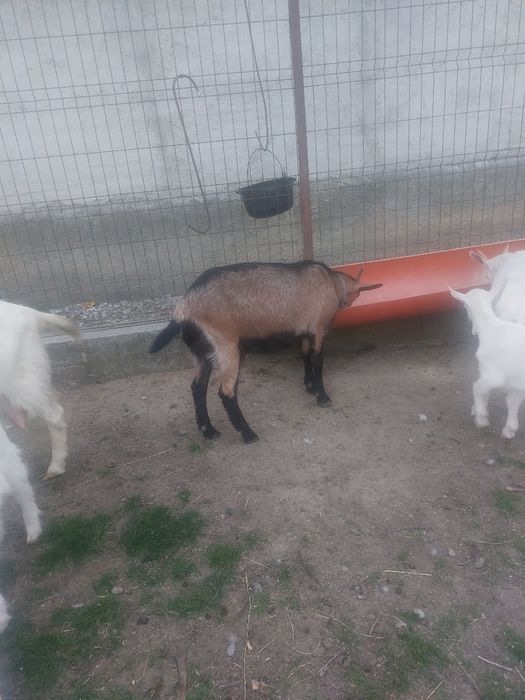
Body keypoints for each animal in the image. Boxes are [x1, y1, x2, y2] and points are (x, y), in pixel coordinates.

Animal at [150, 261, 382, 443]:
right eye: (358, 293)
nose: (347, 304)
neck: (331, 282)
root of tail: (183, 309)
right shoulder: (317, 328)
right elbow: (317, 361)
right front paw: (322, 396)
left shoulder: (303, 331)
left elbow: (305, 356)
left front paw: (309, 386)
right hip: (225, 346)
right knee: (226, 391)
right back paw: (247, 433)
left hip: (202, 353)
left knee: (198, 387)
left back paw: (209, 431)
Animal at [449, 286, 525, 439]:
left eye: (465, 306)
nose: (473, 330)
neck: (491, 327)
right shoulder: (518, 381)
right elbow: (512, 402)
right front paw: (510, 429)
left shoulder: (493, 374)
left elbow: (478, 388)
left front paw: (481, 417)